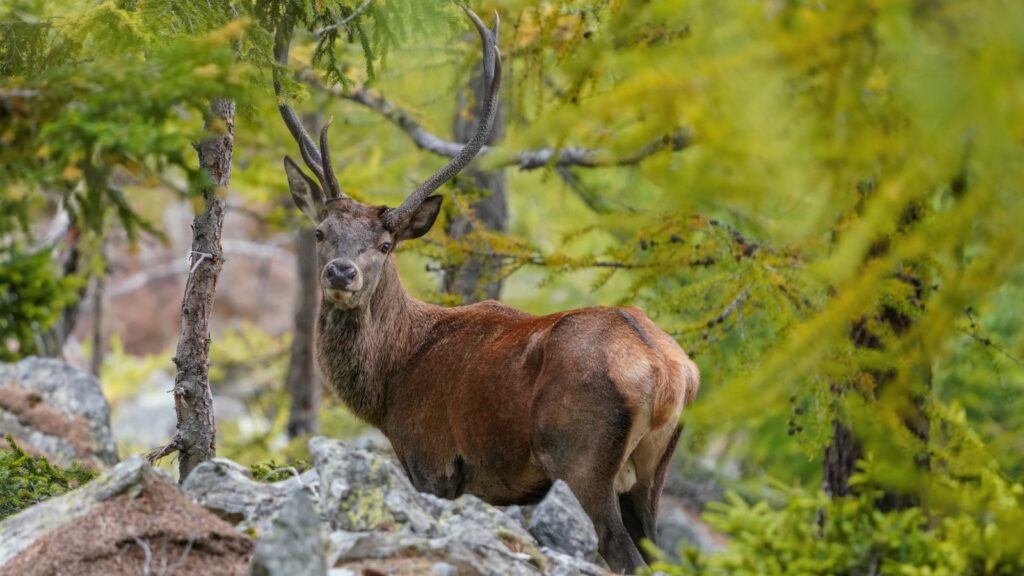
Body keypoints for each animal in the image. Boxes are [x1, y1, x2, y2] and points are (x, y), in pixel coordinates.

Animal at [274, 9, 699, 574]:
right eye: (321, 232)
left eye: (385, 244)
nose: (342, 273)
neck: (391, 382)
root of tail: (669, 370)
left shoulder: (431, 460)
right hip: (653, 470)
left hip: (582, 457)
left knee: (621, 552)